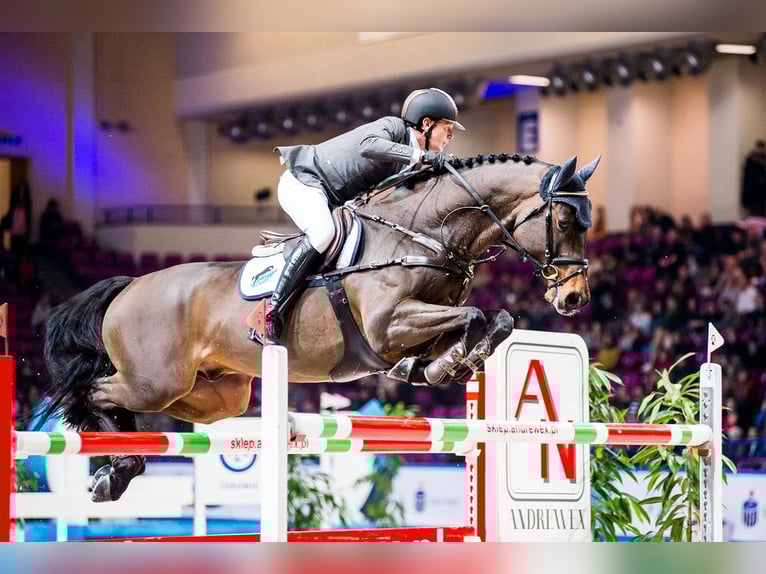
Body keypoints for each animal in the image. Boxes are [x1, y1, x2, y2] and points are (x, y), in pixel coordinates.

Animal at [40, 152, 599, 502]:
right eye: (565, 222)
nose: (574, 298)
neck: (426, 233)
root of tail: (130, 285)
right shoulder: (386, 327)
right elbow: (478, 316)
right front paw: (446, 365)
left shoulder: (418, 324)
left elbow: (493, 320)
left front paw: (441, 367)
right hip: (155, 381)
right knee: (95, 390)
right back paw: (114, 467)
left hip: (214, 395)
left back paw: (117, 469)